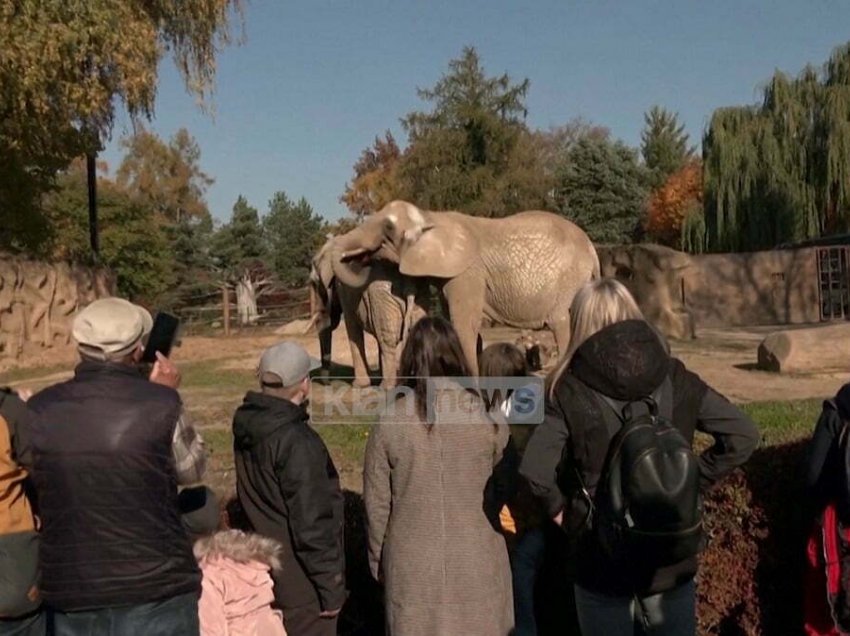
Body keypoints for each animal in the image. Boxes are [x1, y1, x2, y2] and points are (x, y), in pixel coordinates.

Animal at [306, 235, 430, 388]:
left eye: (314, 284)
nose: (328, 384)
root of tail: (409, 284)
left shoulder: (344, 290)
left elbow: (352, 327)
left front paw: (359, 385)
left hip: (383, 296)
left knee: (387, 341)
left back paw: (387, 386)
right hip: (418, 296)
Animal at [324, 200, 596, 372]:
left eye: (388, 227)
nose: (364, 260)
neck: (432, 216)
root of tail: (593, 250)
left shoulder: (467, 273)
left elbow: (464, 323)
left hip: (569, 280)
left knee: (561, 324)